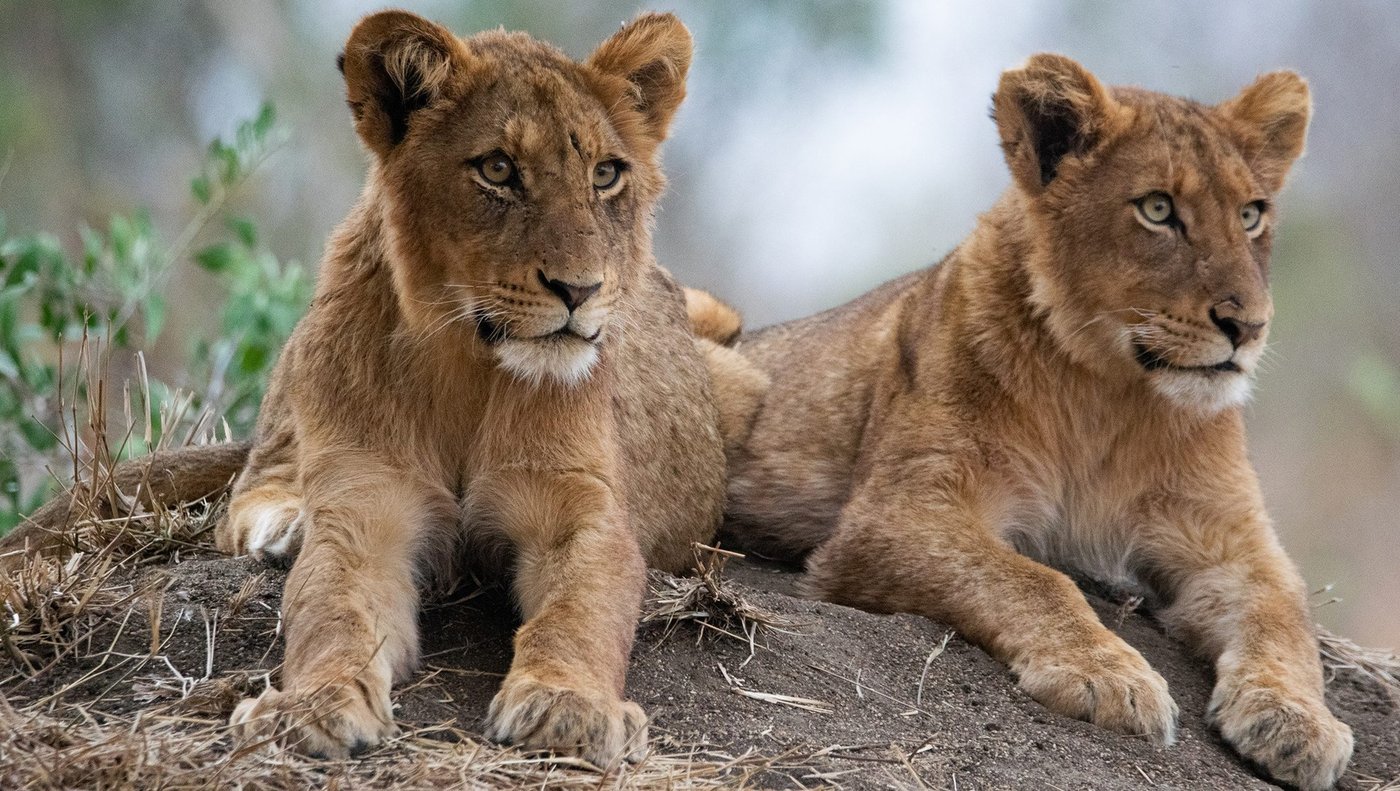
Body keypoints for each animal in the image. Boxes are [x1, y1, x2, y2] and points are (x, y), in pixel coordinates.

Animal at [2, 10, 725, 766]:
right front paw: (310, 706)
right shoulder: (364, 507)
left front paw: (569, 706)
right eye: (498, 168)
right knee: (251, 486)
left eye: (607, 173)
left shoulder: (581, 509)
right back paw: (286, 525)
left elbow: (580, 612)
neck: (468, 361)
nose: (580, 290)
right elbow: (332, 610)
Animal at [697, 55, 1353, 790]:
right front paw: (1106, 675)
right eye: (1158, 209)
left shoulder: (1230, 538)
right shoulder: (896, 511)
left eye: (1251, 214)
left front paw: (1298, 721)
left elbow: (1285, 616)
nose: (1249, 327)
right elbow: (1034, 579)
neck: (1111, 390)